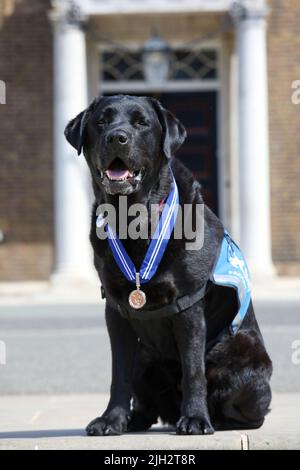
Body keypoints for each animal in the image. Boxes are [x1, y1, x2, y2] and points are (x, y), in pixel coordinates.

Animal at [64, 93, 274, 436]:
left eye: (141, 123)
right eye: (101, 122)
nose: (116, 137)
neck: (135, 220)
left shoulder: (187, 306)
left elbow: (193, 370)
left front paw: (196, 419)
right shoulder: (116, 310)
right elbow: (118, 373)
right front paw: (111, 420)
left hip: (239, 352)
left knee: (250, 411)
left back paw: (216, 419)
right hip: (145, 358)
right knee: (147, 402)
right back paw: (135, 419)